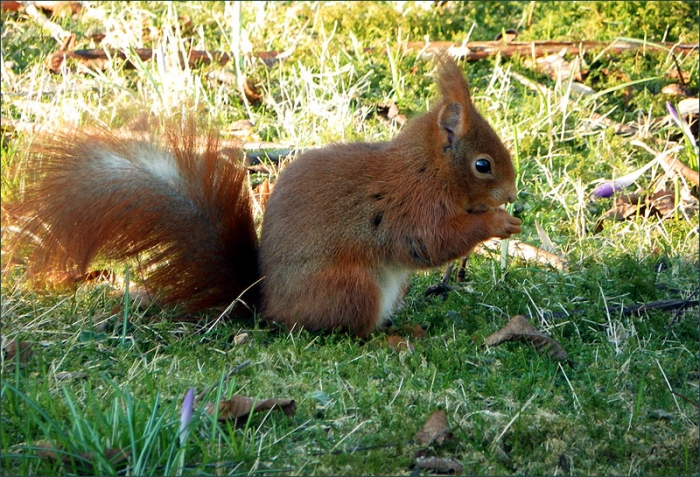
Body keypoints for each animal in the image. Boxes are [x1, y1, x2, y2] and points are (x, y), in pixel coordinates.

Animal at [5, 59, 522, 338]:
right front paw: (497, 223)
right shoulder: (410, 208)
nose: (513, 194)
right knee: (350, 332)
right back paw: (389, 339)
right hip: (351, 288)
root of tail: (267, 307)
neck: (426, 170)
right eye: (483, 166)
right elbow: (430, 243)